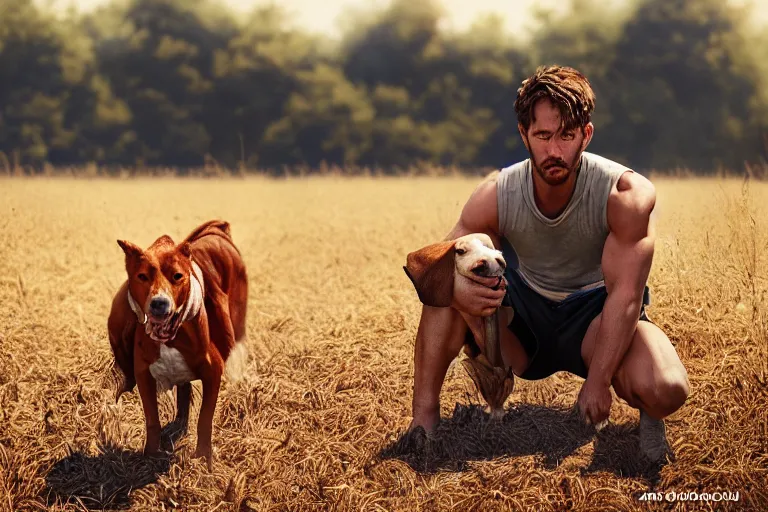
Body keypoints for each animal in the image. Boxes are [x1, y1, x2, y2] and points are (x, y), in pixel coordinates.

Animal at [106, 219, 246, 468]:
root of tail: (217, 230)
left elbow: (205, 418)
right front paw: (151, 455)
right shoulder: (144, 375)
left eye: (178, 276)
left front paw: (203, 457)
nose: (159, 303)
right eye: (142, 276)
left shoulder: (213, 373)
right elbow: (152, 418)